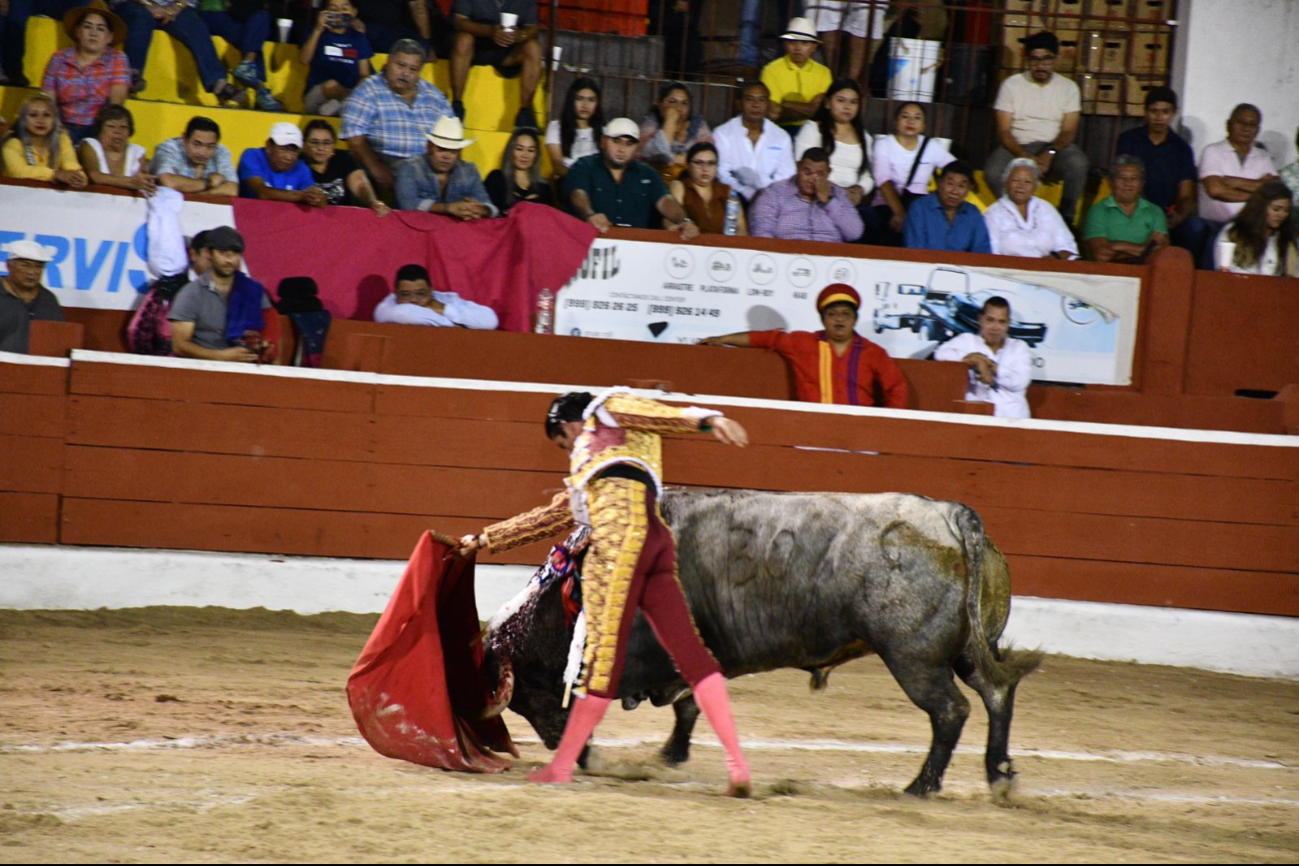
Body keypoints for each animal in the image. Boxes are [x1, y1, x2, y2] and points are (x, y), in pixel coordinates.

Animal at [483, 488, 1039, 799]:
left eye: (526, 693)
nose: (566, 752)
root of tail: (953, 515)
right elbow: (689, 705)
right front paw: (671, 755)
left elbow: (677, 702)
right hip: (967, 650)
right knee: (996, 695)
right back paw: (999, 775)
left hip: (913, 658)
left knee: (950, 711)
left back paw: (921, 787)